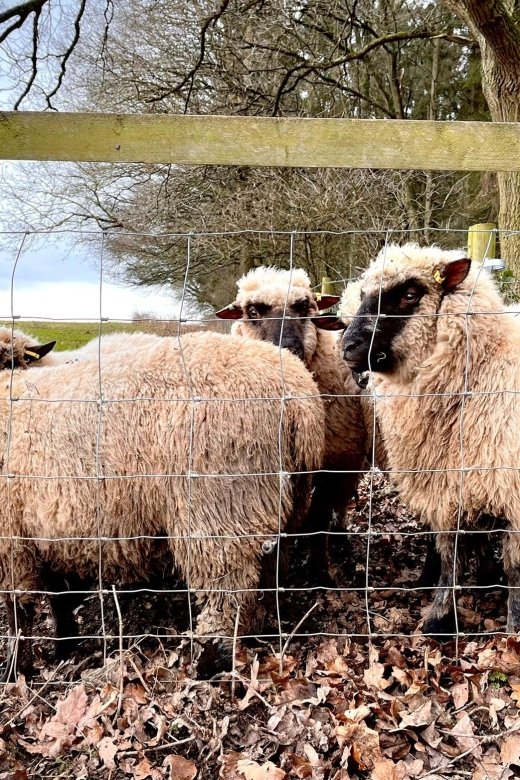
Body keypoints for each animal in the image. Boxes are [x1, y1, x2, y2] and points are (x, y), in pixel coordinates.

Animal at [214, 266, 366, 580]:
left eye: (303, 307)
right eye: (252, 312)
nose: (288, 350)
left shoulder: (335, 462)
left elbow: (319, 518)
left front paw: (319, 572)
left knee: (341, 501)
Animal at [342, 244, 520, 632]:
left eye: (410, 294)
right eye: (363, 296)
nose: (347, 346)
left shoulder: (512, 492)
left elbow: (515, 570)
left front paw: (514, 628)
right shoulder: (446, 482)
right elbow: (449, 554)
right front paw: (439, 617)